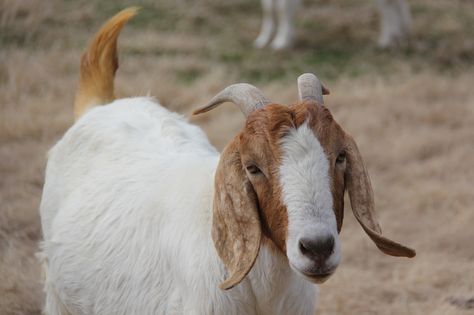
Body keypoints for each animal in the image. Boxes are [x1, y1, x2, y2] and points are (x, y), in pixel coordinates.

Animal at [256, 0, 412, 50]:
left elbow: (282, 8)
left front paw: (282, 42)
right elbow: (268, 8)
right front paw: (262, 40)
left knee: (387, 5)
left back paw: (388, 40)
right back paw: (399, 35)